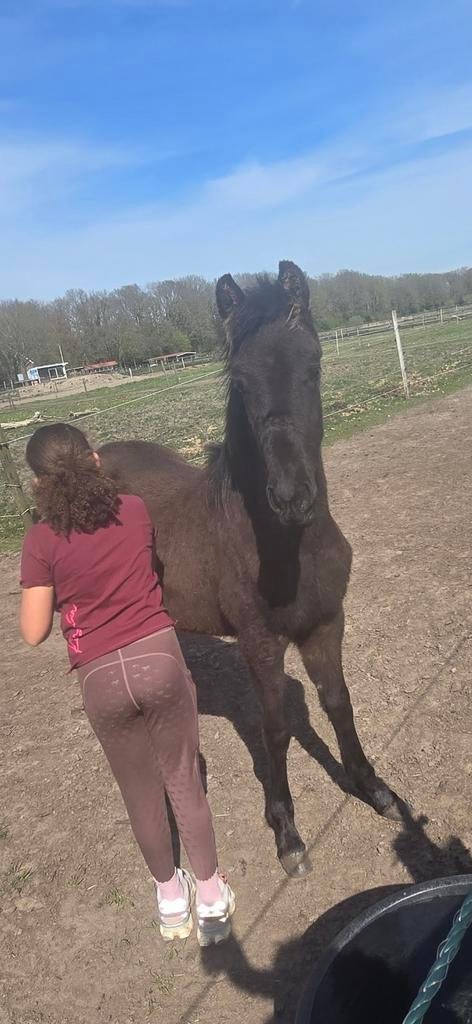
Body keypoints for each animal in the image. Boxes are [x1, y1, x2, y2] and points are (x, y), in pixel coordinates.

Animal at [99, 260, 402, 877]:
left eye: (313, 366)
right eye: (240, 382)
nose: (291, 497)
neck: (290, 548)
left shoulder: (326, 624)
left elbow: (339, 703)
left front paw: (372, 787)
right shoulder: (261, 644)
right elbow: (276, 728)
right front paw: (287, 832)